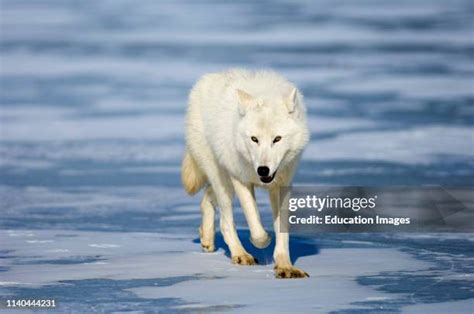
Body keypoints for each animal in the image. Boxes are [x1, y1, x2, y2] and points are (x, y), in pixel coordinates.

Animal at [181, 68, 312, 278]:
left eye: (277, 139)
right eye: (254, 139)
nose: (263, 170)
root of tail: (207, 78)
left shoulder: (282, 185)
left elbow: (282, 231)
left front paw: (285, 266)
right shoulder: (240, 178)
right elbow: (256, 228)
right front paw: (263, 242)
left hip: (223, 180)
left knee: (207, 197)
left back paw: (207, 239)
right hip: (221, 177)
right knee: (225, 221)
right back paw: (240, 254)